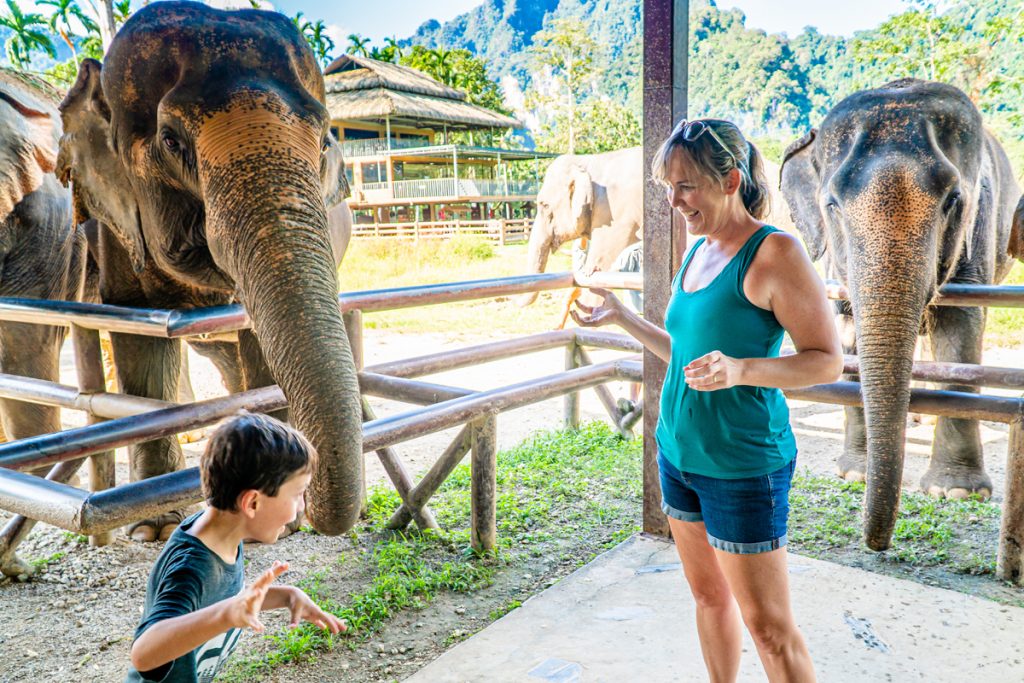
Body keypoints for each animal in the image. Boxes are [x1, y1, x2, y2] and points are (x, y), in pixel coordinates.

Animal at [54, 1, 362, 541]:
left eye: (325, 140)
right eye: (171, 140)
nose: (305, 502)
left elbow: (259, 339)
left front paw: (285, 518)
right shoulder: (116, 230)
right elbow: (138, 334)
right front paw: (153, 529)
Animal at [779, 78, 1022, 550]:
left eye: (954, 200)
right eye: (831, 204)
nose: (876, 543)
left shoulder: (978, 233)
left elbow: (961, 328)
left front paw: (956, 491)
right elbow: (845, 328)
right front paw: (854, 473)